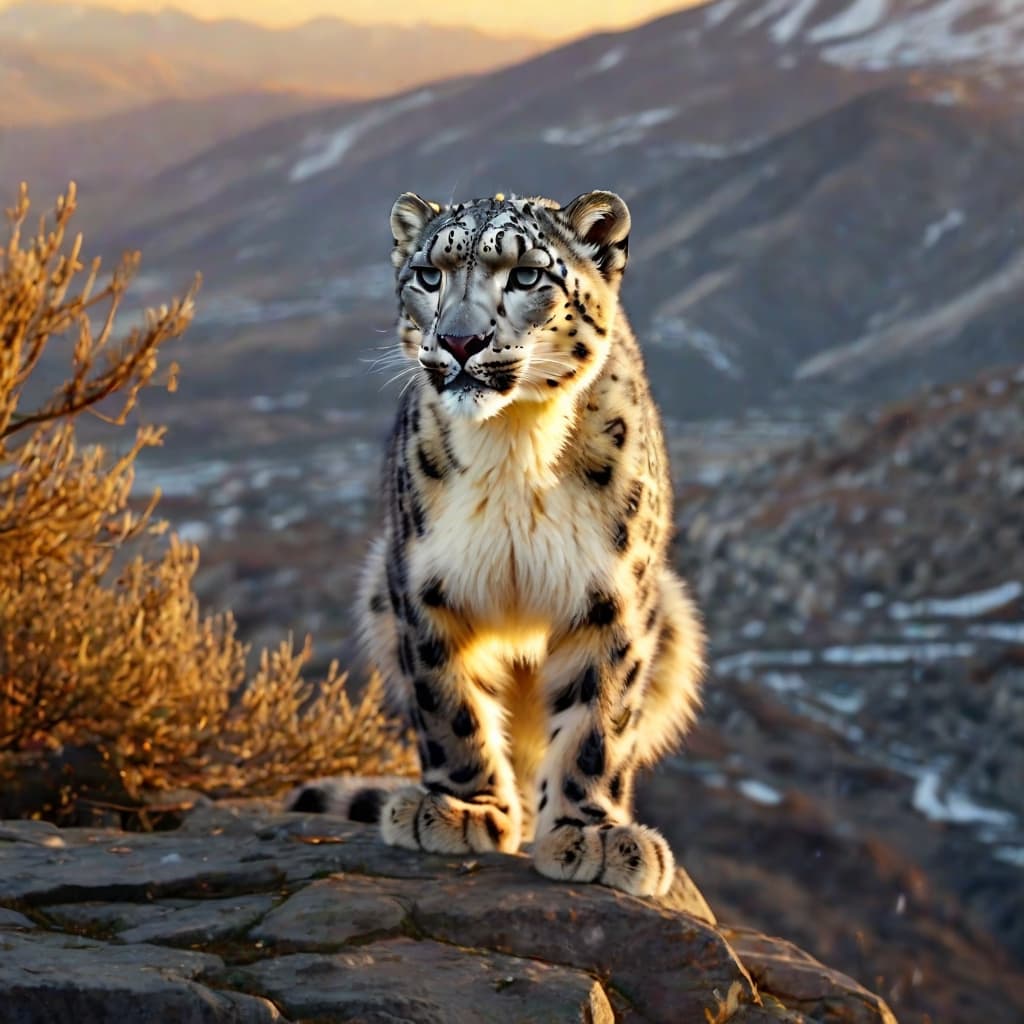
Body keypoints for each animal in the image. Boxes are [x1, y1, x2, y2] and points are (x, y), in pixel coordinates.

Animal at [289, 189, 705, 897]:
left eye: (528, 275)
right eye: (429, 275)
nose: (461, 341)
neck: (515, 446)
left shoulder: (614, 595)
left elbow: (599, 718)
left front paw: (589, 834)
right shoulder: (422, 584)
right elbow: (449, 702)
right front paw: (461, 809)